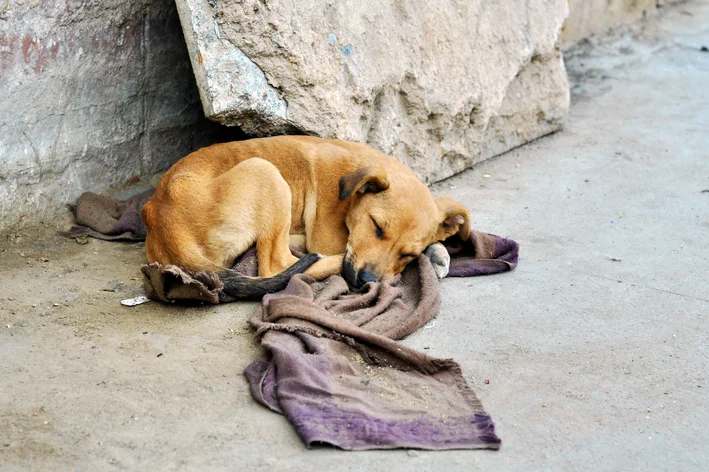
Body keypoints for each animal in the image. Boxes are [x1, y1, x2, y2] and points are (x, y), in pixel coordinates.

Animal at [141, 135, 468, 296]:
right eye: (376, 226)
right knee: (276, 266)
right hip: (265, 172)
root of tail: (163, 222)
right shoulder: (329, 237)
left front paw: (437, 251)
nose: (365, 281)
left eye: (407, 254)